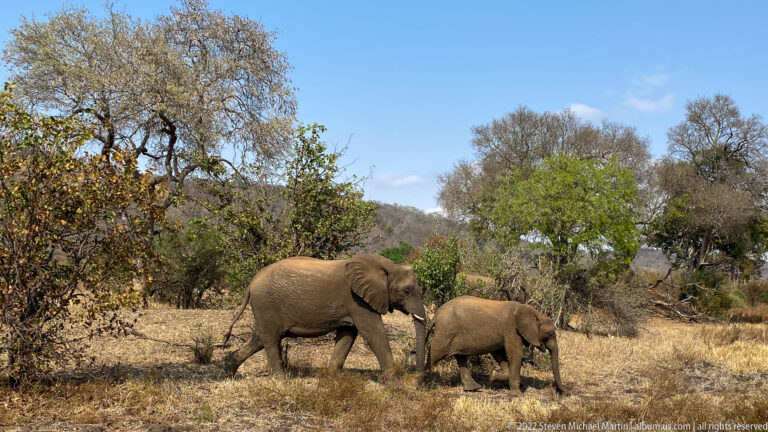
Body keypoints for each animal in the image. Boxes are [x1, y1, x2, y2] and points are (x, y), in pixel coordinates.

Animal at [222, 254, 427, 378]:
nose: (419, 377)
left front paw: (331, 377)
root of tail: (251, 282)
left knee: (260, 338)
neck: (388, 265)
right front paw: (396, 383)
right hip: (266, 303)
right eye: (406, 291)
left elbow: (347, 335)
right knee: (271, 339)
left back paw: (228, 369)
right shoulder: (357, 300)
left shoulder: (352, 304)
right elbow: (374, 333)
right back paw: (281, 380)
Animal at [427, 296, 566, 396]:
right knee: (435, 354)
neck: (534, 312)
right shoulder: (511, 329)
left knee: (460, 357)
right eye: (550, 334)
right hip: (445, 332)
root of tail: (436, 315)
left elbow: (500, 355)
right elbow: (515, 354)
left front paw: (493, 377)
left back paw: (473, 388)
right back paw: (425, 379)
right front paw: (518, 394)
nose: (564, 393)